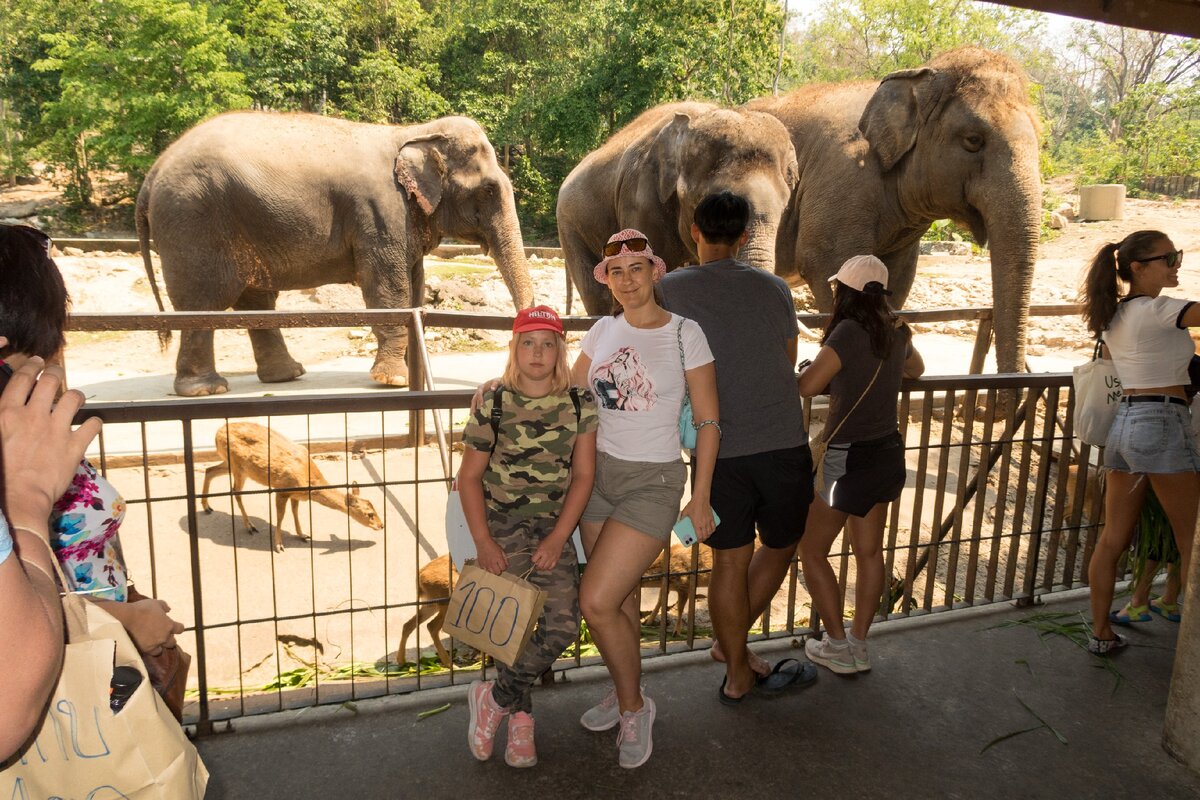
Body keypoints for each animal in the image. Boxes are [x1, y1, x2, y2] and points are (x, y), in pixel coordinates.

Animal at [133, 109, 532, 398]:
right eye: (488, 191)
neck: (412, 131)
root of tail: (153, 172)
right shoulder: (379, 213)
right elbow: (389, 289)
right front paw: (394, 381)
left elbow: (414, 288)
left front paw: (410, 371)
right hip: (194, 224)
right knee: (203, 302)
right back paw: (206, 390)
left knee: (256, 300)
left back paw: (286, 376)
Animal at [199, 424, 381, 551]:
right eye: (369, 514)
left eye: (375, 508)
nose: (381, 525)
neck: (309, 482)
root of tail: (217, 433)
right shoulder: (282, 490)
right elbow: (281, 516)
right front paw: (279, 545)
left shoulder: (296, 495)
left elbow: (295, 512)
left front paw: (303, 535)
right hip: (238, 466)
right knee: (235, 491)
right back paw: (250, 526)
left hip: (230, 464)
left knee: (210, 470)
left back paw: (207, 507)